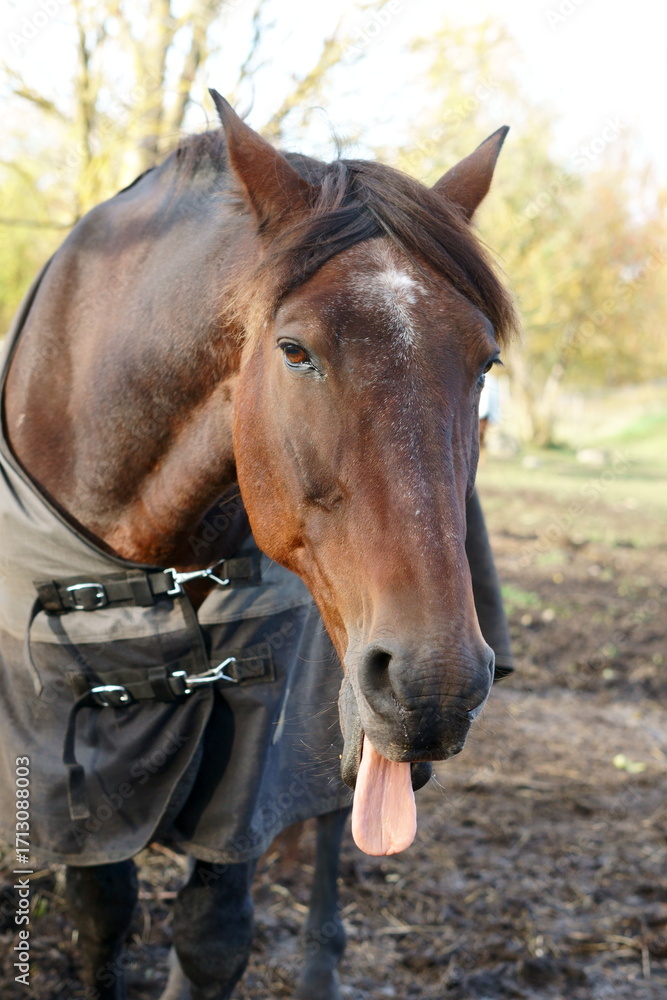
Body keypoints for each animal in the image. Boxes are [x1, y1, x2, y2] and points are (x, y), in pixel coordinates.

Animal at [0, 89, 516, 999]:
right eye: (294, 350)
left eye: (483, 361)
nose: (438, 682)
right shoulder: (71, 754)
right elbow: (101, 913)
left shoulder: (255, 732)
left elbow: (214, 933)